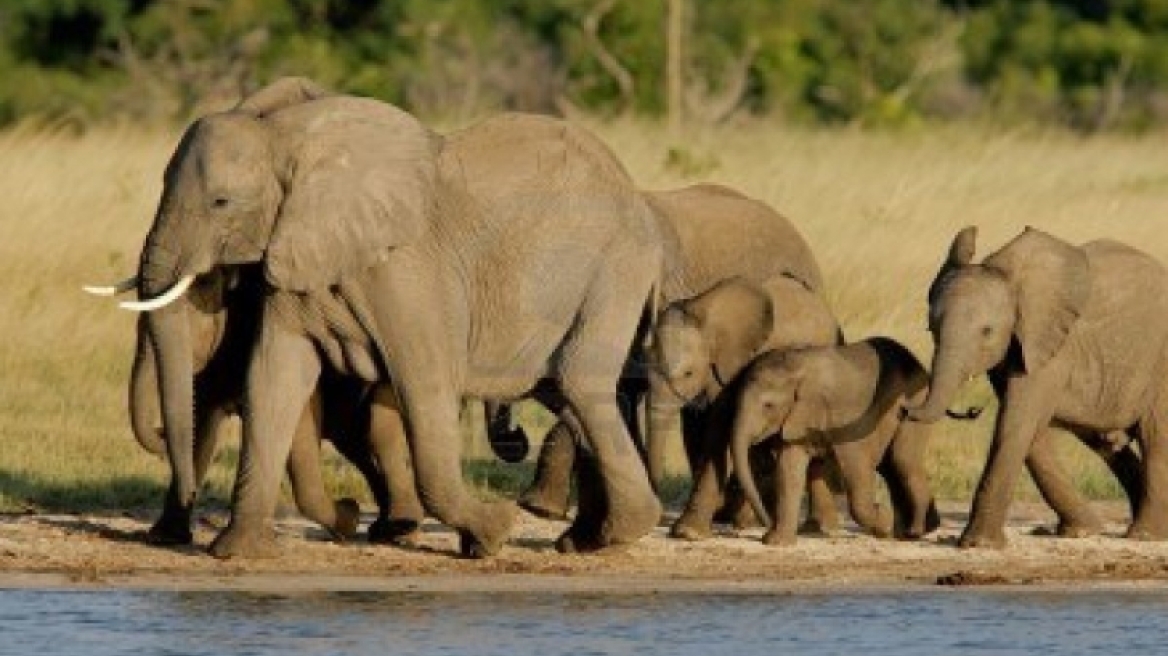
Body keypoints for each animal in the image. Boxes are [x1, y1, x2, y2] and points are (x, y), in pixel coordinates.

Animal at [91, 76, 668, 555]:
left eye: (221, 202)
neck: (284, 140)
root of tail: (633, 189)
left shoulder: (407, 273)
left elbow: (424, 385)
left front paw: (493, 535)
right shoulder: (294, 260)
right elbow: (274, 380)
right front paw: (238, 552)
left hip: (617, 265)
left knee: (579, 382)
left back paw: (614, 536)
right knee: (563, 391)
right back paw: (586, 540)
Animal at [728, 333, 939, 543]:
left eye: (768, 405)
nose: (765, 524)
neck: (798, 369)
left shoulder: (846, 418)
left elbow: (856, 469)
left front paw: (884, 526)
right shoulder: (796, 418)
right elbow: (789, 470)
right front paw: (776, 542)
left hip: (916, 403)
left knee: (903, 461)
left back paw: (915, 532)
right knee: (891, 468)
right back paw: (906, 532)